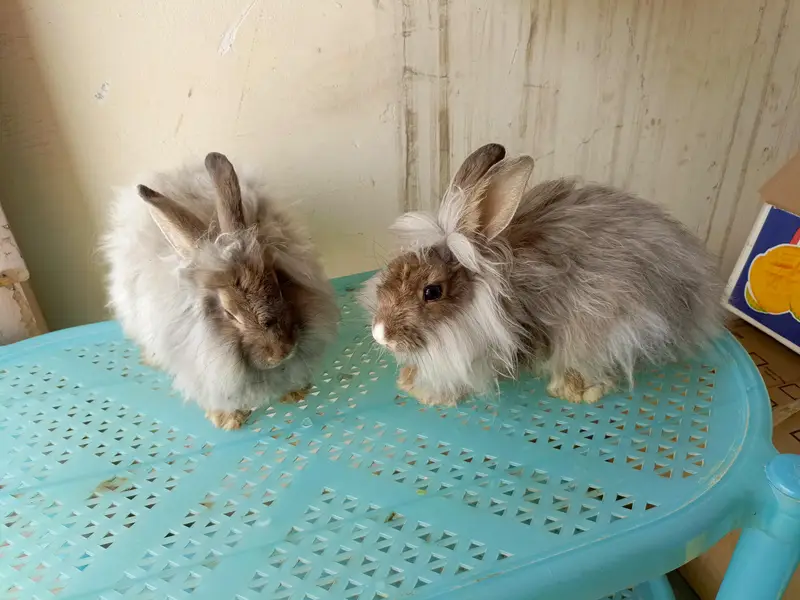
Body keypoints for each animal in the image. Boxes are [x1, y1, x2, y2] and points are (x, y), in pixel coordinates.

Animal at [359, 143, 725, 407]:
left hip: (608, 324)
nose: (380, 334)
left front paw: (430, 394)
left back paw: (574, 389)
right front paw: (409, 380)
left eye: (432, 292)